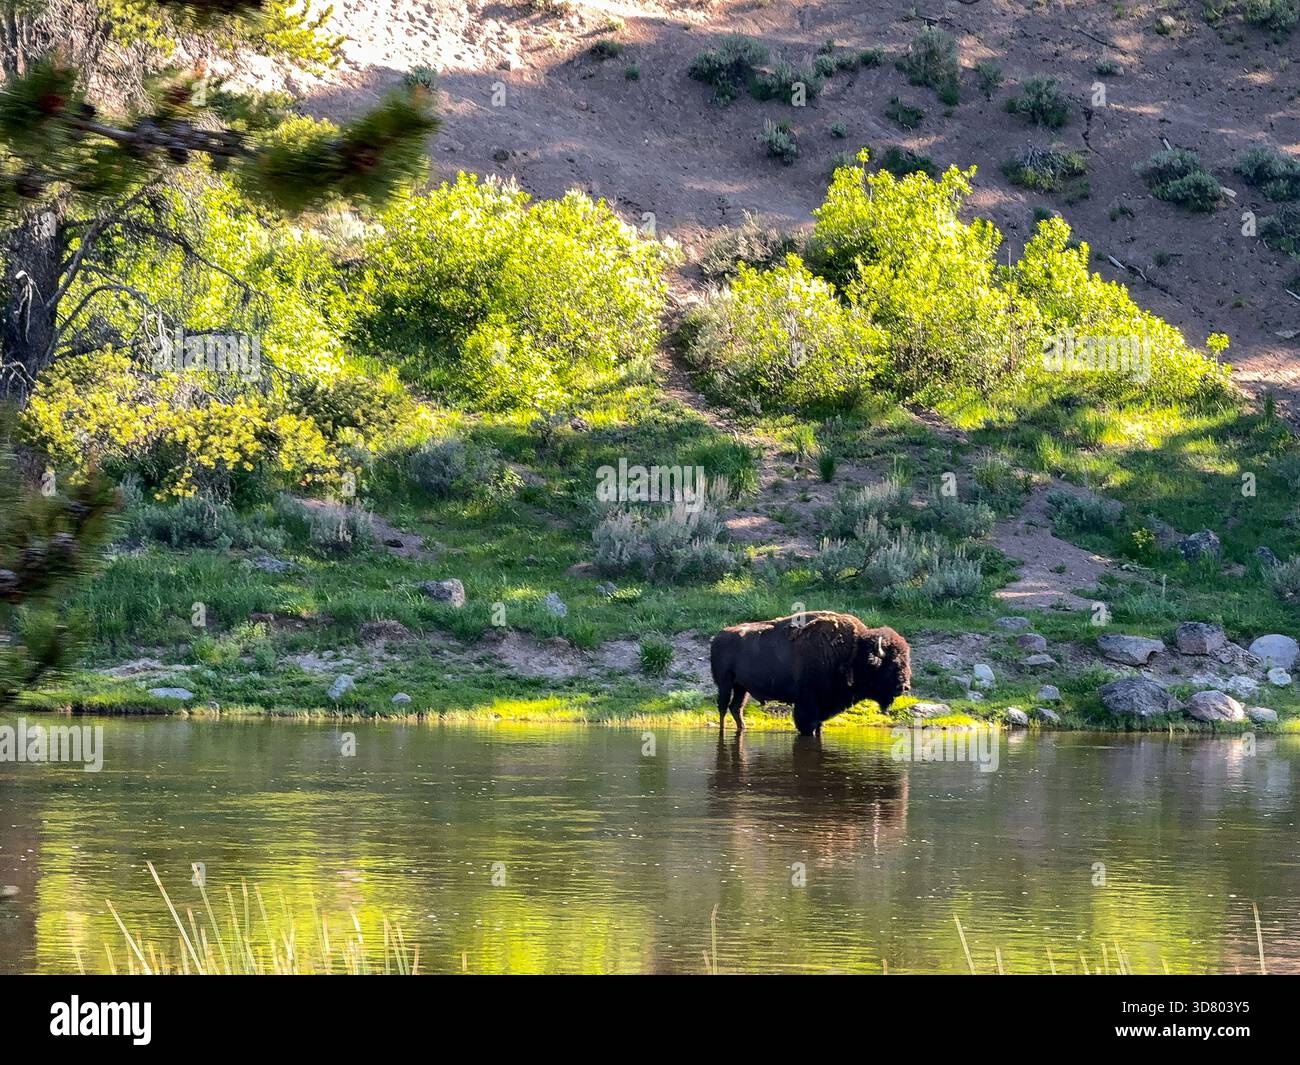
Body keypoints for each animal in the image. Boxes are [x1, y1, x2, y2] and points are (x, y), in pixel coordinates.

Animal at [710, 611, 912, 735]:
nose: (904, 687)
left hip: (742, 688)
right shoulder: (807, 704)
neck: (853, 653)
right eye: (892, 664)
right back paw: (722, 731)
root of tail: (718, 636)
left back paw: (743, 729)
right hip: (725, 684)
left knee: (736, 707)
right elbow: (807, 725)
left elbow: (818, 726)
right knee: (723, 707)